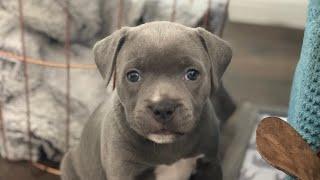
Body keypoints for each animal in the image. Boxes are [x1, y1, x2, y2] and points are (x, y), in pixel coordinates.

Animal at [60, 21, 231, 180]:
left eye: (192, 74)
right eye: (133, 76)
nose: (163, 108)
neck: (168, 147)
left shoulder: (210, 165)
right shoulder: (124, 171)